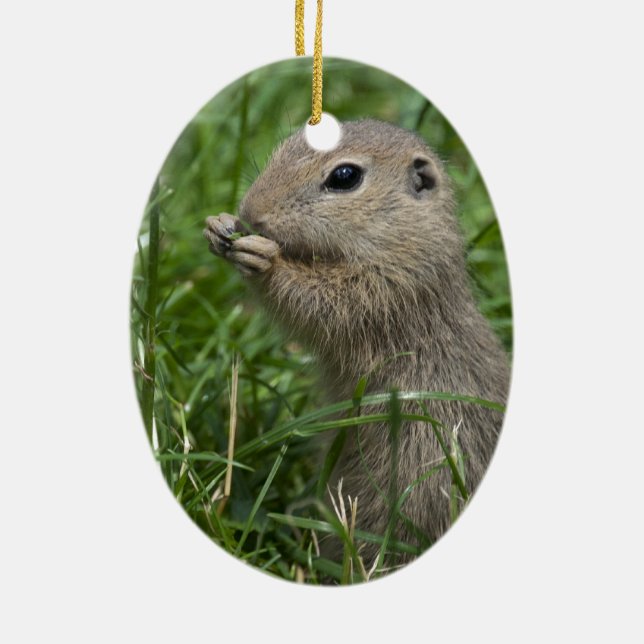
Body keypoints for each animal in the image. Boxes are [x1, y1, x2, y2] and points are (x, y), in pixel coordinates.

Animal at [204, 119, 510, 568]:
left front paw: (265, 260)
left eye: (345, 177)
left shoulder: (388, 288)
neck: (404, 235)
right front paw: (218, 225)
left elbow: (320, 303)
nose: (251, 213)